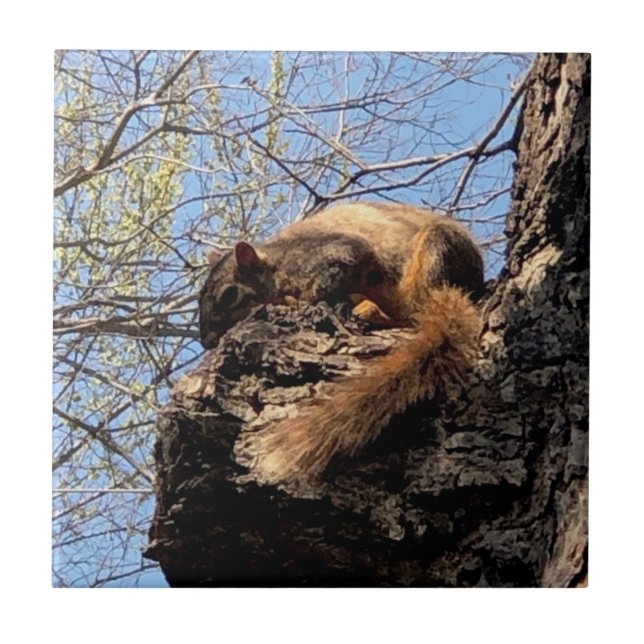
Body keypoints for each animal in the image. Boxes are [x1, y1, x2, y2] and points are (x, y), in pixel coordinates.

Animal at [199, 202, 484, 489]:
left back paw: (373, 311)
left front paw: (296, 302)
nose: (206, 341)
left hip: (435, 252)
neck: (276, 265)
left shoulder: (324, 257)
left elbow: (331, 277)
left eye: (229, 295)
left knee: (413, 310)